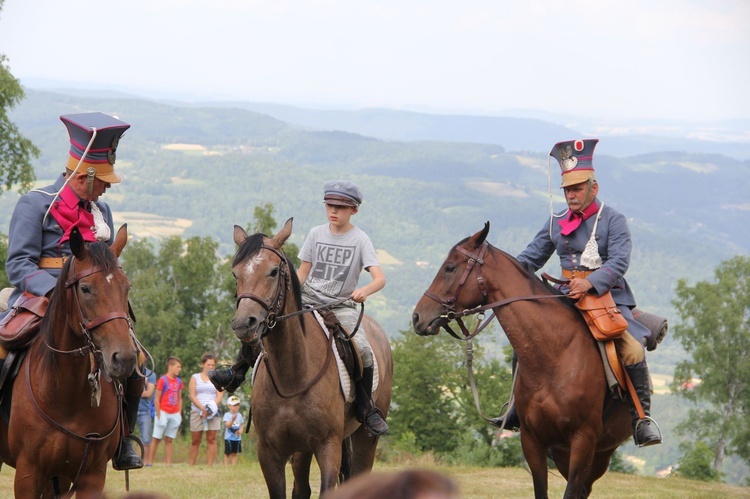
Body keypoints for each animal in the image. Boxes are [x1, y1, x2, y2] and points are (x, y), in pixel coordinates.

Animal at [0, 226, 140, 496]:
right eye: (85, 288)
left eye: (127, 286)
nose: (125, 358)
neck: (66, 393)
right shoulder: (27, 474)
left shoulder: (91, 474)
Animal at [229, 220, 394, 499]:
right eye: (235, 273)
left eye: (274, 272)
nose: (244, 324)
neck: (292, 377)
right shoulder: (270, 453)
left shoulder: (328, 447)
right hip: (302, 450)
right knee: (301, 489)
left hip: (364, 439)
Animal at [412, 225, 636, 499]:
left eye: (450, 267)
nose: (417, 317)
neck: (555, 356)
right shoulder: (533, 440)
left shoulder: (584, 440)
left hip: (599, 453)